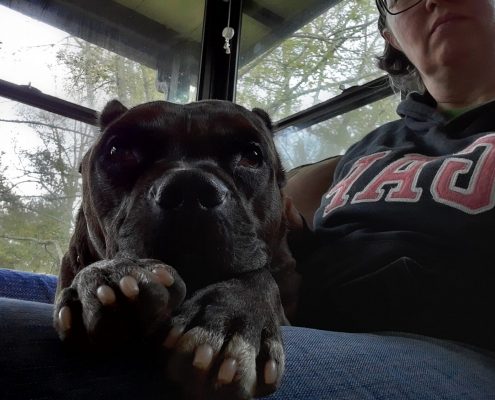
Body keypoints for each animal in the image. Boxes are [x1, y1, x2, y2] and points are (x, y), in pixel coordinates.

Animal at [54, 98, 302, 398]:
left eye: (252, 156)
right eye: (118, 150)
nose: (190, 187)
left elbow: (259, 276)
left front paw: (233, 316)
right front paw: (107, 275)